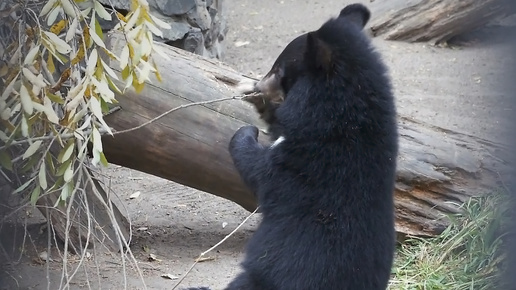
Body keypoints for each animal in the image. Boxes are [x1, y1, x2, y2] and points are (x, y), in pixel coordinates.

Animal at [186, 2, 400, 290]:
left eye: (279, 70)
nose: (260, 84)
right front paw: (253, 95)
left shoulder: (307, 156)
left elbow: (260, 169)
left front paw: (247, 130)